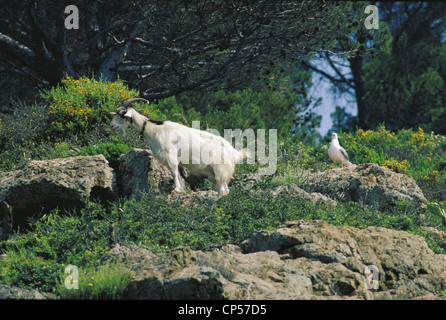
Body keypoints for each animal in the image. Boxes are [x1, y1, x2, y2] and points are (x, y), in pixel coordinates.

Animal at [108, 97, 247, 194]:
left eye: (122, 116)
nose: (111, 126)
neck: (154, 129)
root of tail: (233, 152)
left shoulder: (170, 155)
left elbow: (174, 172)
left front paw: (177, 189)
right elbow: (177, 173)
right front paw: (181, 188)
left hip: (220, 169)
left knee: (224, 190)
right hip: (214, 173)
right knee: (224, 189)